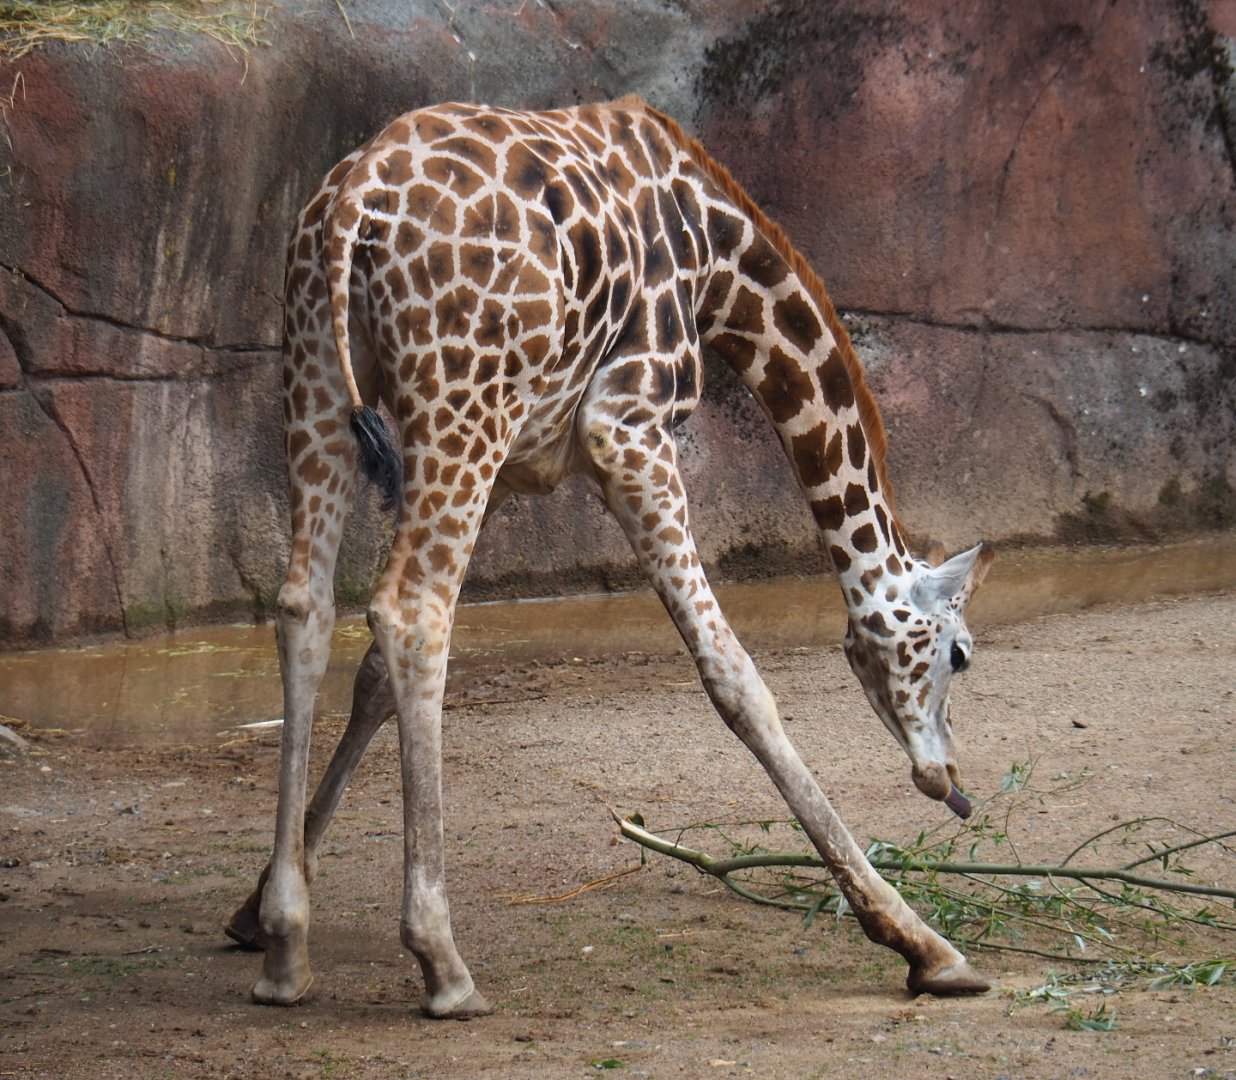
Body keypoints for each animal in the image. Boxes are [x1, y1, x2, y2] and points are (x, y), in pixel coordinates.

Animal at [227, 98, 996, 1017]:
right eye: (959, 653)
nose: (947, 782)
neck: (716, 254)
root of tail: (355, 206)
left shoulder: (519, 461)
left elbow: (373, 677)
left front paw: (254, 908)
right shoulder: (628, 432)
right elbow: (735, 678)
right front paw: (924, 944)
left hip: (322, 377)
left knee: (307, 606)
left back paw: (286, 950)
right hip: (458, 403)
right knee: (412, 611)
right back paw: (443, 961)